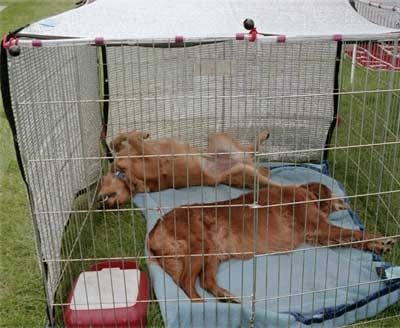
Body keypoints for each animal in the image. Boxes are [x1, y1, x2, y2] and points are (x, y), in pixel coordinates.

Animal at [98, 131, 272, 208]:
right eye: (114, 205)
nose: (100, 205)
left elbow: (118, 140)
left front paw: (141, 133)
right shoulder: (155, 160)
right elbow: (130, 140)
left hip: (219, 138)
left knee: (250, 150)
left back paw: (263, 135)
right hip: (247, 172)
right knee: (267, 175)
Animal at [148, 182, 396, 302]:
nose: (346, 200)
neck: (304, 194)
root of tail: (155, 229)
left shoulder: (322, 235)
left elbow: (353, 238)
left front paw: (377, 245)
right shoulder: (321, 228)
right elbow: (357, 234)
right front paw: (381, 240)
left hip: (213, 253)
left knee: (206, 281)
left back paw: (226, 297)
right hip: (201, 247)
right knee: (186, 282)